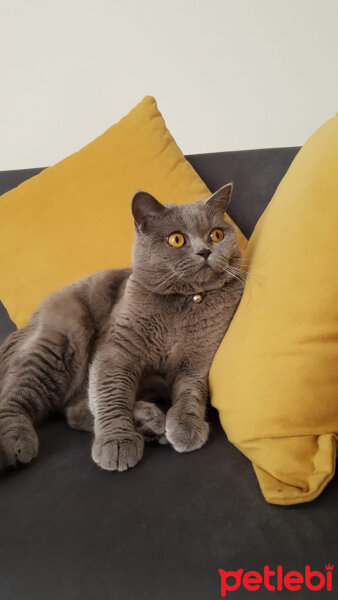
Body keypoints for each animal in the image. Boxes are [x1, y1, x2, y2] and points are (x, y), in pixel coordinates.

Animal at [0, 184, 243, 474]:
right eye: (176, 240)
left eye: (216, 234)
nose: (205, 251)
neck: (183, 304)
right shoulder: (116, 352)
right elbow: (111, 392)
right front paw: (117, 442)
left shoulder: (197, 361)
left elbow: (191, 392)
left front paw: (186, 426)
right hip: (60, 342)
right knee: (14, 399)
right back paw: (14, 444)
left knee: (75, 409)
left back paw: (148, 423)